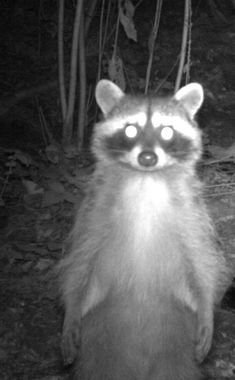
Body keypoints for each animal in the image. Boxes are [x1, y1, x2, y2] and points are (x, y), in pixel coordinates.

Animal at [58, 78, 229, 378]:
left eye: (167, 132)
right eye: (130, 129)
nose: (147, 157)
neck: (145, 180)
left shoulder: (192, 214)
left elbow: (203, 263)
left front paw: (207, 310)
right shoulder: (94, 210)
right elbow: (79, 262)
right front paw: (71, 314)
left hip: (175, 342)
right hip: (102, 342)